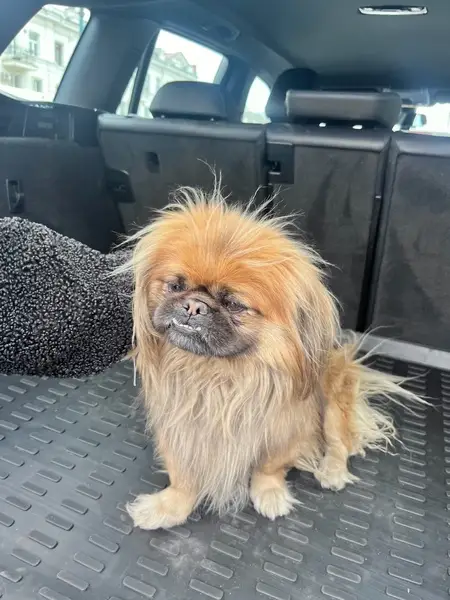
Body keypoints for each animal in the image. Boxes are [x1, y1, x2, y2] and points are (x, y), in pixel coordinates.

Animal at [118, 186, 421, 530]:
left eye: (234, 304)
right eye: (175, 286)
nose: (194, 306)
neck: (218, 376)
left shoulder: (286, 430)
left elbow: (269, 468)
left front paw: (270, 494)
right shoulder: (180, 430)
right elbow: (183, 479)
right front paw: (168, 508)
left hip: (333, 402)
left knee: (340, 442)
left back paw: (332, 471)